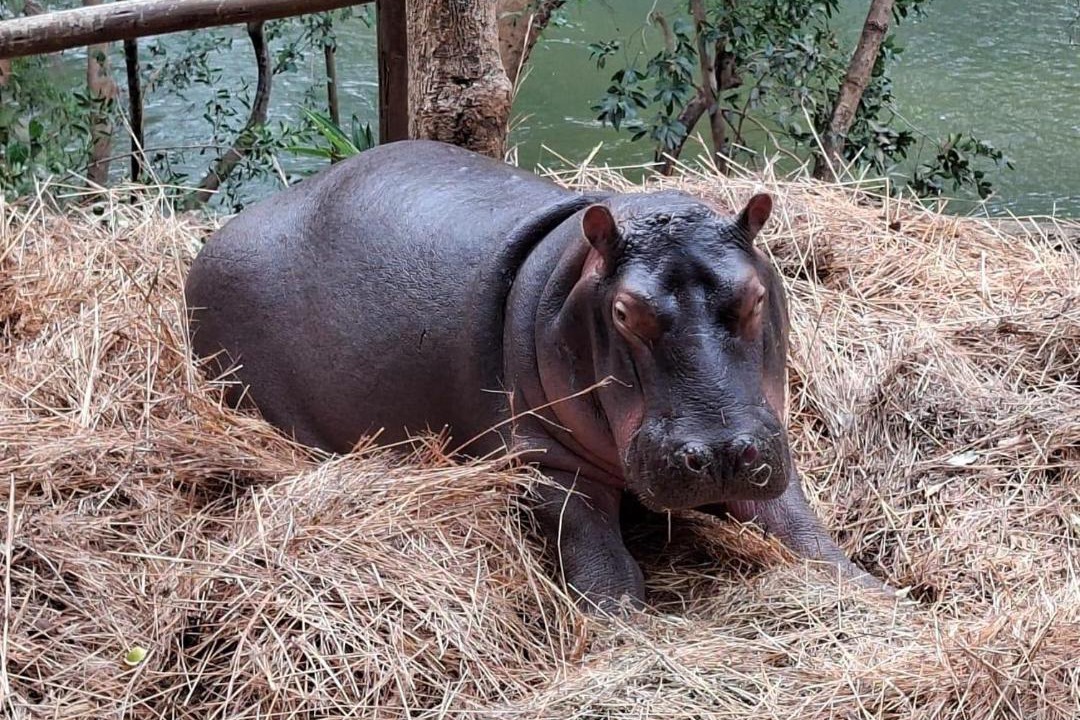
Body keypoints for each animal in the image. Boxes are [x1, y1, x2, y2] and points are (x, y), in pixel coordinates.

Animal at [185, 139, 887, 609]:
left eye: (755, 295)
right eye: (624, 312)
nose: (717, 453)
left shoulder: (767, 441)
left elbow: (799, 525)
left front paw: (872, 587)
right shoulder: (541, 458)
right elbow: (595, 547)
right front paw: (620, 616)